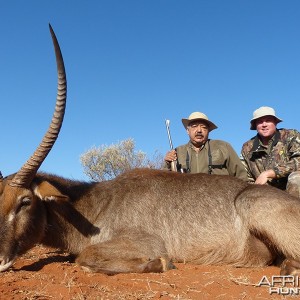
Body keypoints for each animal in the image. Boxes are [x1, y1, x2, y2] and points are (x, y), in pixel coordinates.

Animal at [0, 26, 300, 276]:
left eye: (25, 201)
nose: (1, 260)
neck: (95, 205)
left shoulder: (147, 242)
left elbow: (84, 256)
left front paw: (161, 263)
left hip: (253, 205)